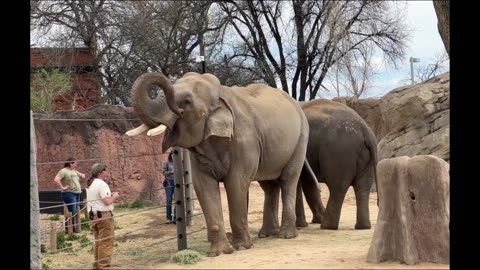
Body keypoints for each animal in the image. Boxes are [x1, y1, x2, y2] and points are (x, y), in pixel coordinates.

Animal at [125, 72, 310, 258]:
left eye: (186, 101)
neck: (219, 94)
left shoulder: (245, 140)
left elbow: (236, 183)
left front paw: (242, 247)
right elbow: (204, 186)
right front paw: (218, 253)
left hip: (301, 138)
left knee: (288, 180)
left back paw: (286, 235)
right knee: (269, 186)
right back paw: (266, 234)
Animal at [296, 99, 378, 230]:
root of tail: (366, 131)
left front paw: (303, 224)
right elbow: (307, 181)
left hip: (338, 153)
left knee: (338, 186)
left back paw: (326, 226)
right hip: (365, 159)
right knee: (363, 187)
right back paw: (363, 226)